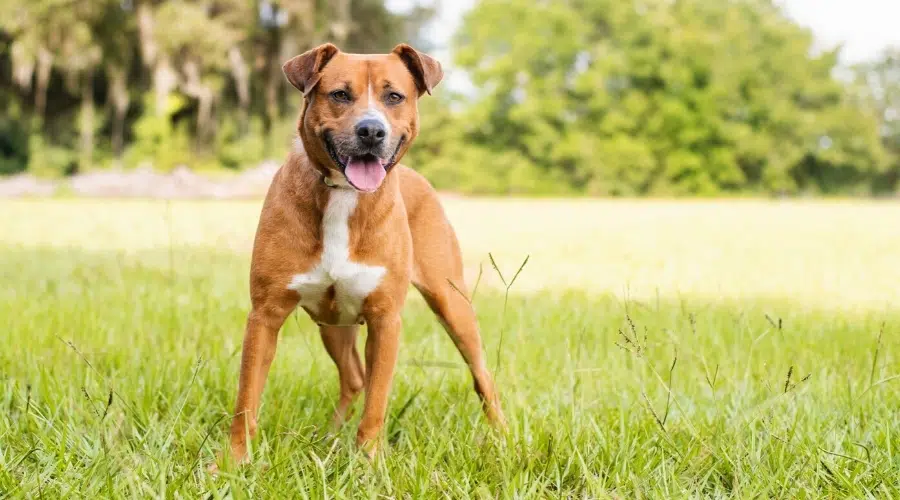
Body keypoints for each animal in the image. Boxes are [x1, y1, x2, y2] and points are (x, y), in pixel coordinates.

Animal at [225, 44, 506, 464]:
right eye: (340, 94)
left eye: (395, 96)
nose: (372, 130)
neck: (343, 194)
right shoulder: (265, 315)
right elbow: (246, 399)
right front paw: (232, 462)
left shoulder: (385, 320)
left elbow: (377, 401)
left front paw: (369, 462)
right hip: (333, 323)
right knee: (353, 377)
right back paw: (331, 435)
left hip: (452, 303)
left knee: (482, 374)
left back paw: (504, 438)